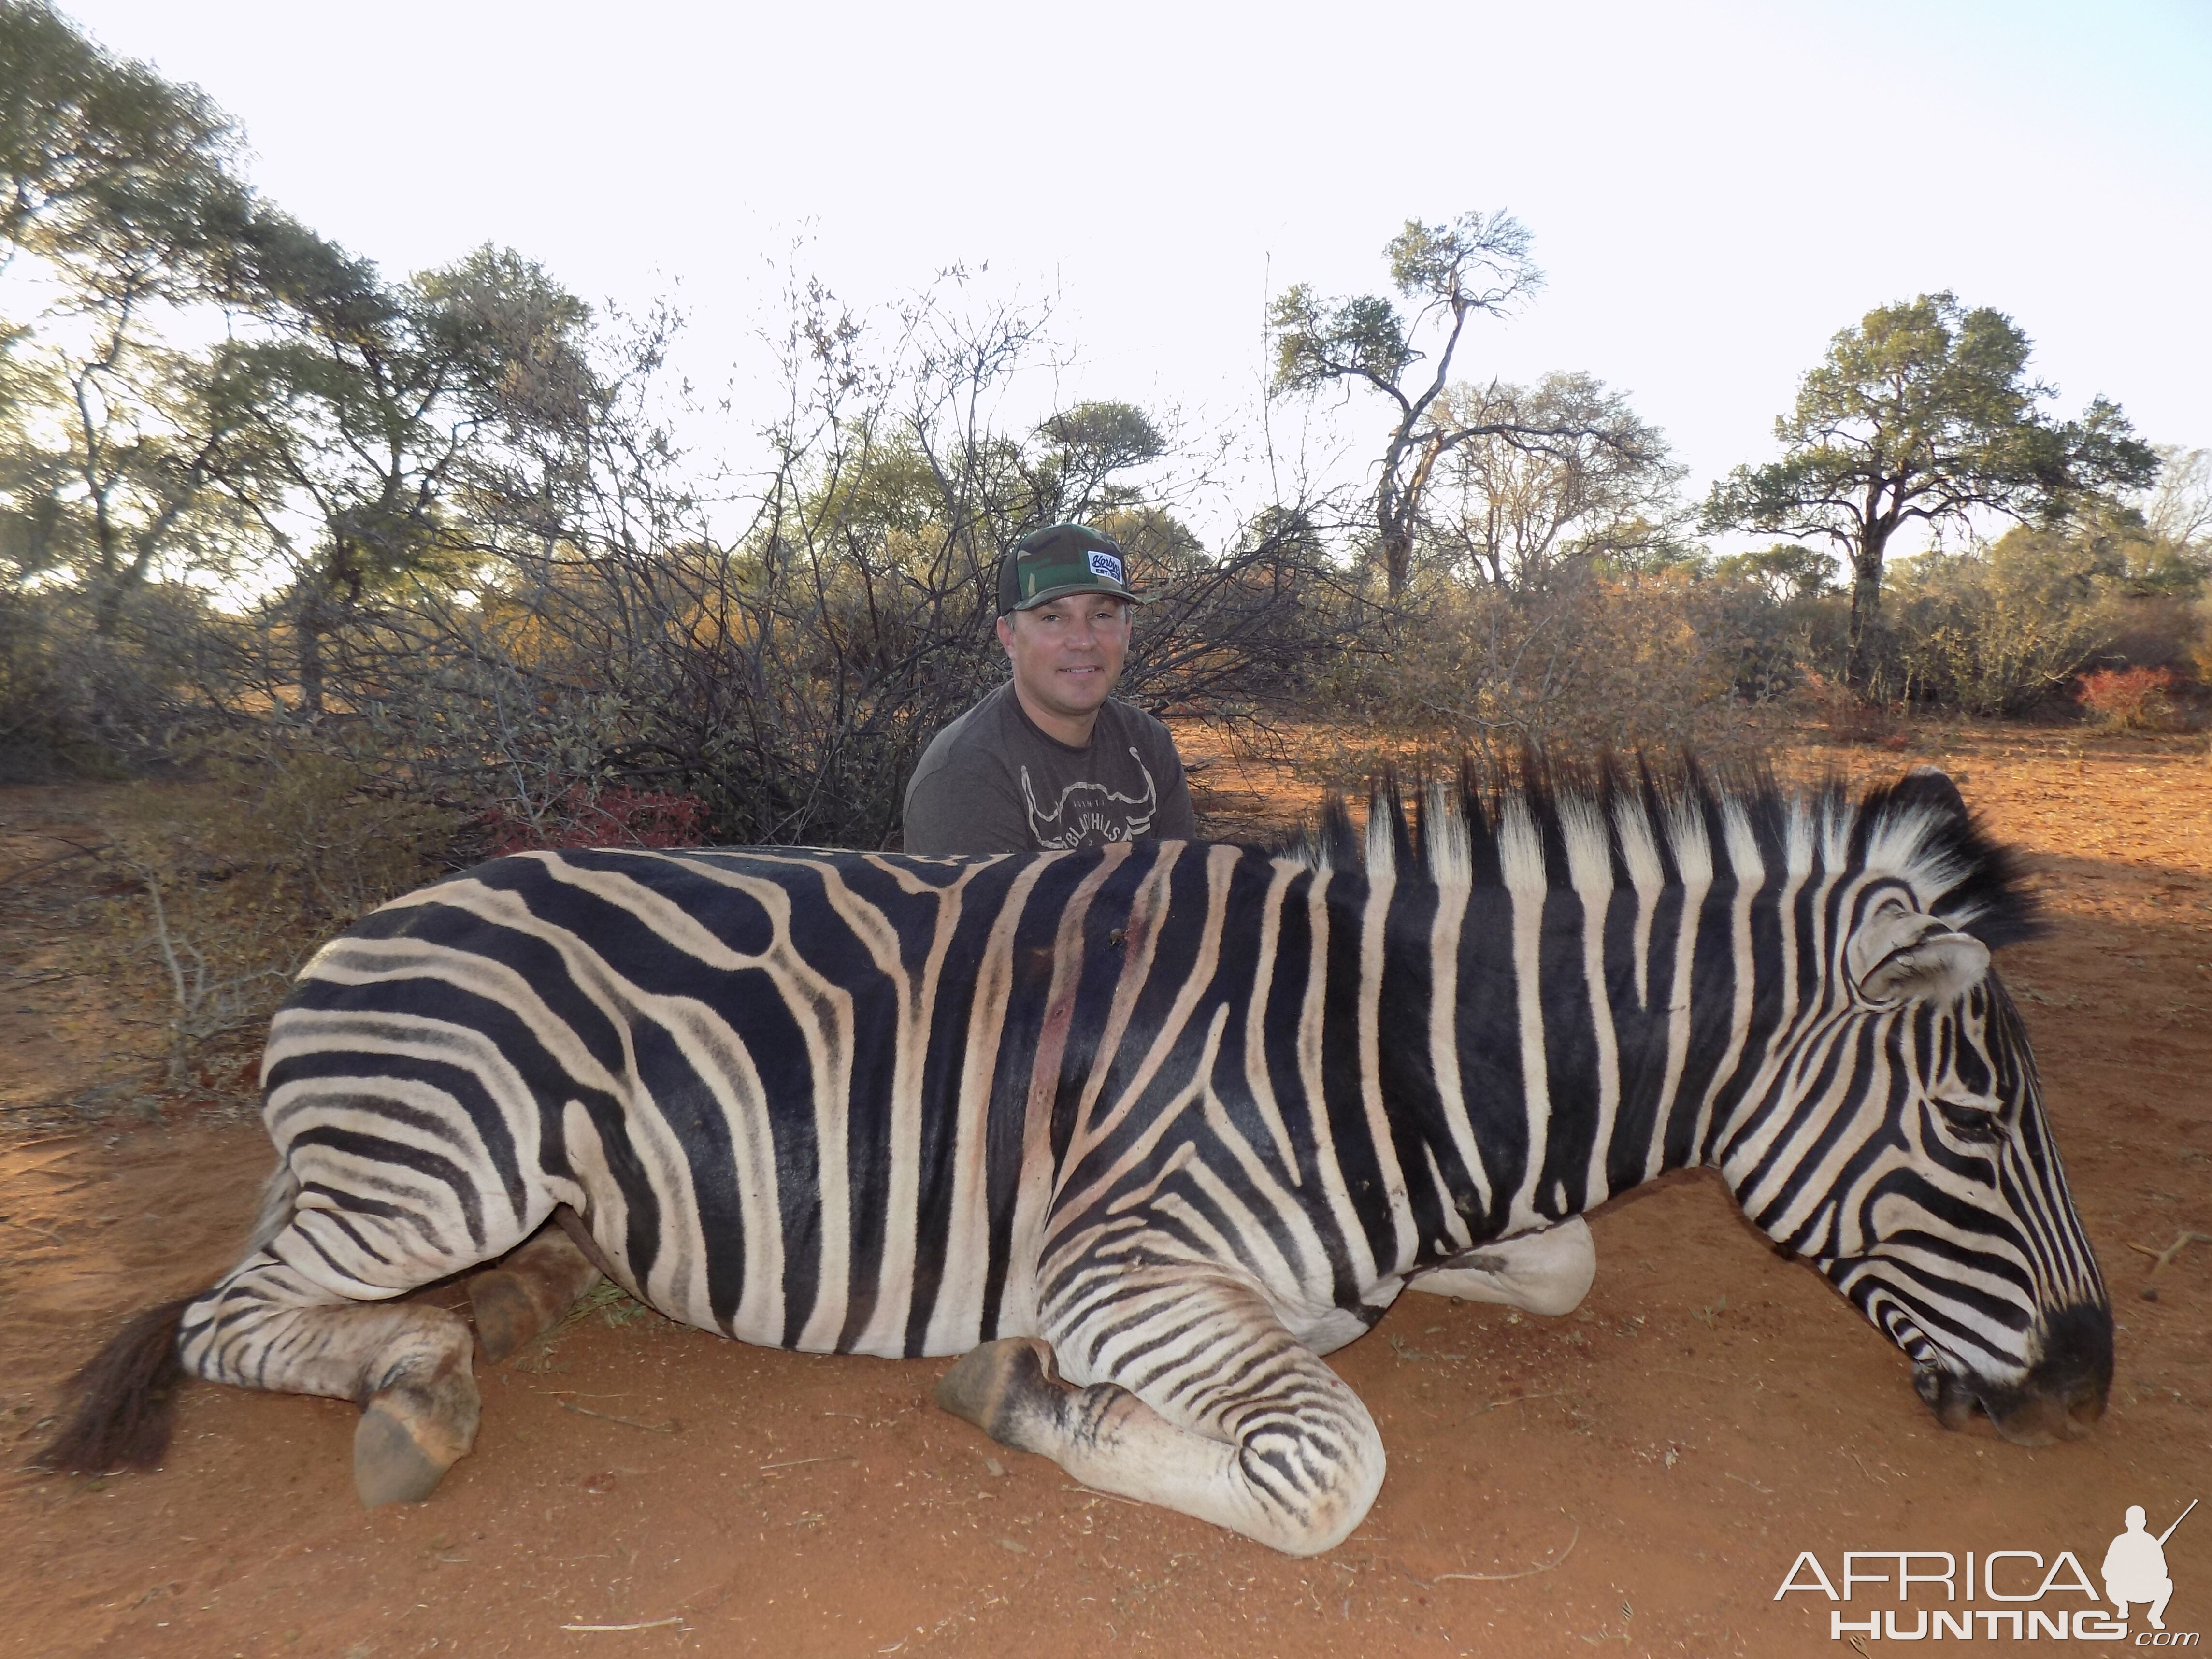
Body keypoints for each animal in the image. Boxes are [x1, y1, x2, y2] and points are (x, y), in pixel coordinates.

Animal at [39, 765, 2106, 1557]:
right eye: (1978, 1120)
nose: (2092, 1386)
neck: (1377, 1056)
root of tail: (369, 921)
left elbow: (1555, 1258)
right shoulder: (1117, 1265)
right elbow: (1326, 1468)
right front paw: (1021, 1395)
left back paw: (519, 1308)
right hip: (437, 1160)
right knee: (237, 1312)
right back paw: (418, 1381)